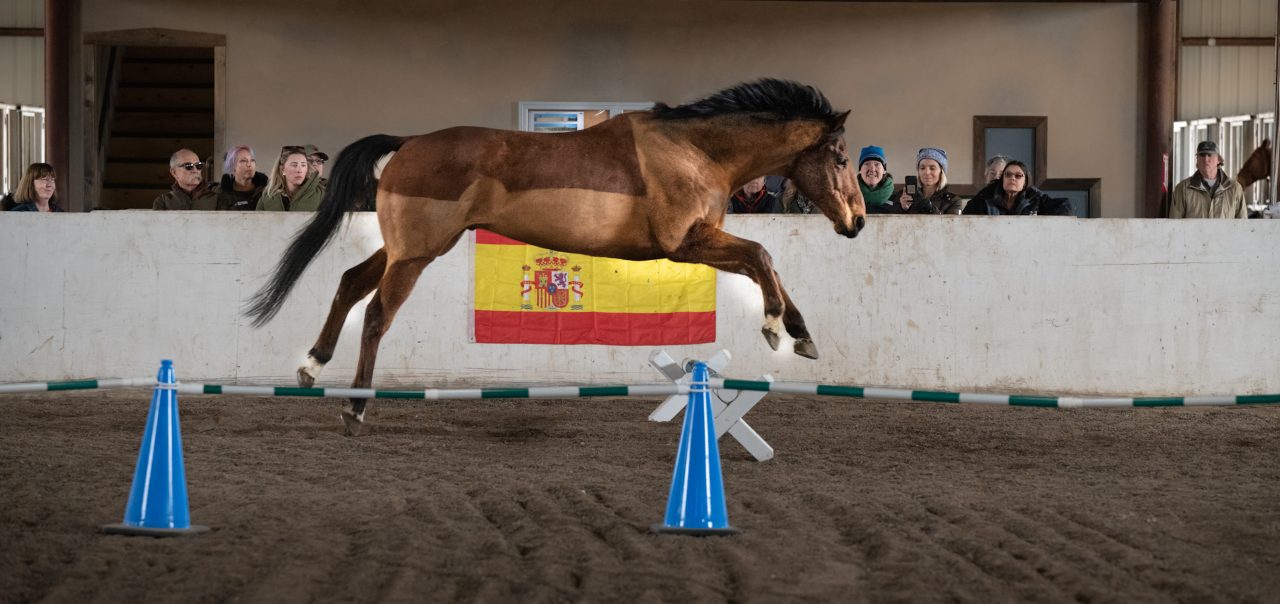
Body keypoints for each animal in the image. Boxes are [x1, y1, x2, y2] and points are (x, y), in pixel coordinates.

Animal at [246, 78, 866, 435]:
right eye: (839, 157)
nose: (857, 221)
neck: (695, 151)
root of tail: (408, 143)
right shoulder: (686, 243)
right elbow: (762, 255)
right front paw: (776, 328)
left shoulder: (698, 244)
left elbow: (770, 265)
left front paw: (802, 334)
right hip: (416, 254)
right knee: (376, 312)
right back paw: (354, 409)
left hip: (406, 248)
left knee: (350, 283)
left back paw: (311, 366)